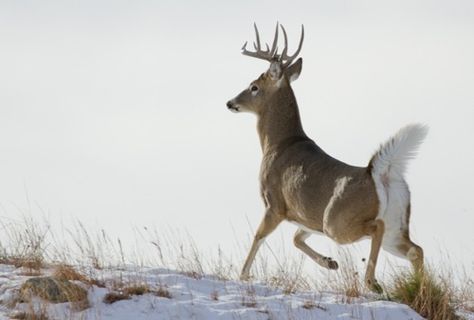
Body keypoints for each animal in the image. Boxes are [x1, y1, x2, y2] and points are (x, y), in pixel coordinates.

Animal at [224, 23, 428, 292]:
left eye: (253, 87)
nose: (230, 103)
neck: (277, 144)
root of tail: (379, 172)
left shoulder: (274, 202)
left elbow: (258, 236)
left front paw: (243, 275)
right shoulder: (307, 218)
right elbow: (296, 239)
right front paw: (330, 263)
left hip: (338, 221)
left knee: (378, 227)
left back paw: (372, 282)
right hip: (396, 225)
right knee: (416, 250)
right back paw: (420, 289)